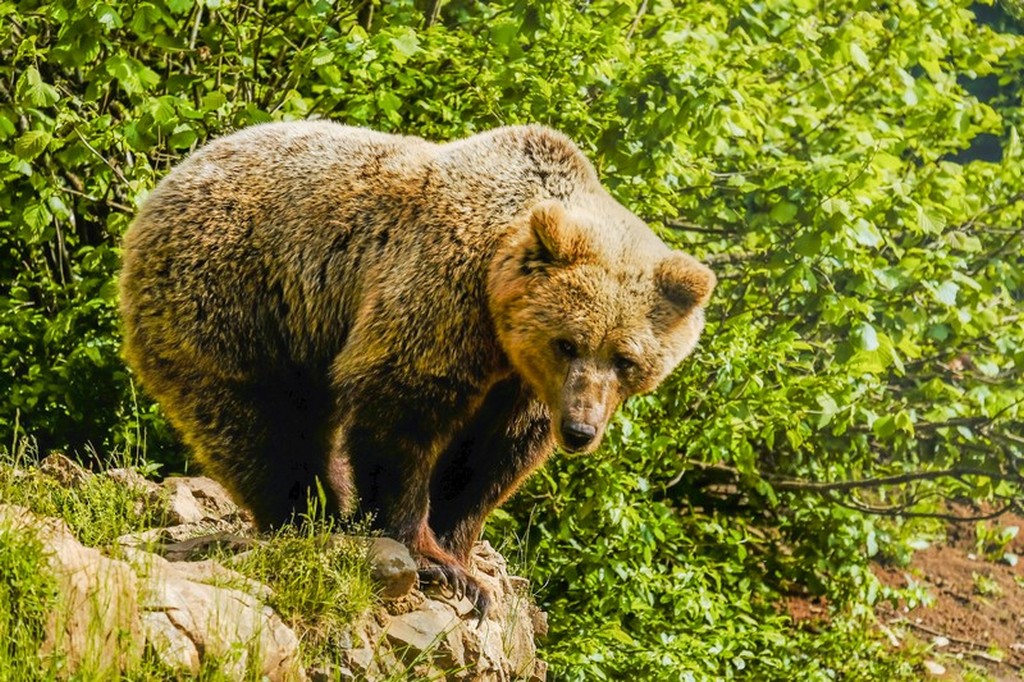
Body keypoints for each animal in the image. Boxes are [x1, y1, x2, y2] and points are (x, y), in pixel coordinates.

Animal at [117, 120, 712, 610]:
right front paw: (436, 564)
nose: (580, 429)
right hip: (236, 299)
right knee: (261, 425)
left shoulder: (522, 384)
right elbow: (401, 413)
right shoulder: (440, 292)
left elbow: (493, 457)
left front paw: (461, 549)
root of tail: (167, 183)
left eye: (625, 358)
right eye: (568, 343)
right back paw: (311, 514)